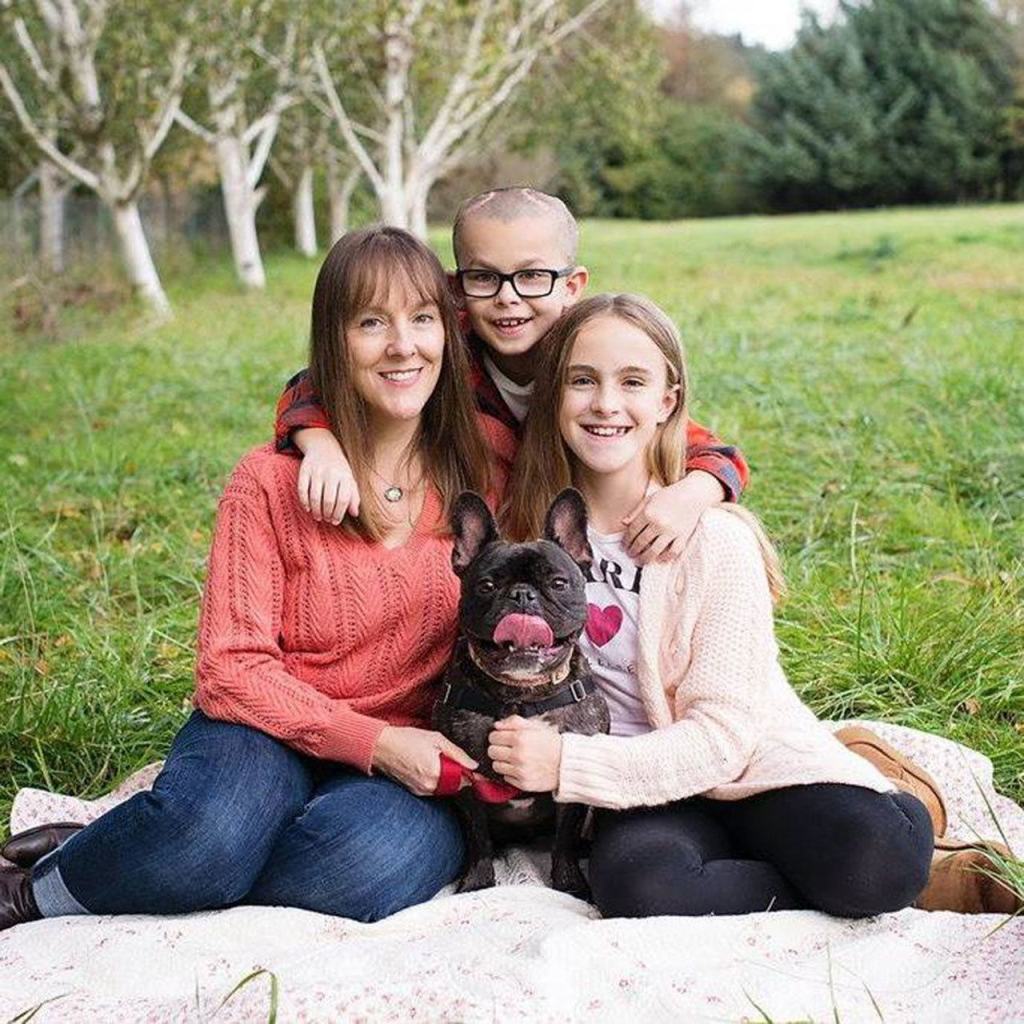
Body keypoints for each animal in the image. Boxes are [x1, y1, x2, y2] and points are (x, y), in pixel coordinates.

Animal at [432, 488, 610, 897]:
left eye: (558, 584)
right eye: (486, 586)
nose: (522, 595)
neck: (521, 696)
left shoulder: (567, 783)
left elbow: (564, 839)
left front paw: (569, 882)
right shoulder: (465, 781)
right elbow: (477, 836)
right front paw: (477, 881)